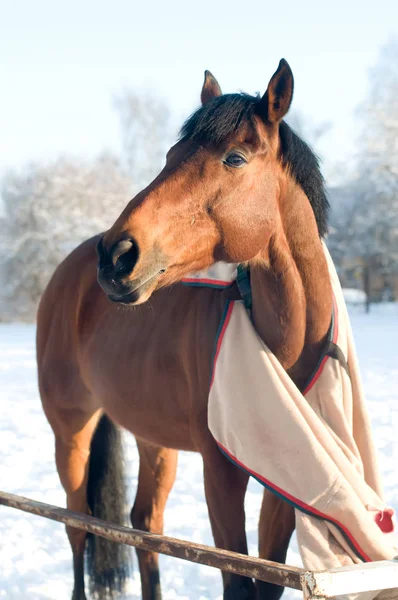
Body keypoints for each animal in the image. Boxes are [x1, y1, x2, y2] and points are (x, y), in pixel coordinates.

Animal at [35, 57, 332, 600]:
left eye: (234, 158)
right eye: (172, 155)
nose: (116, 255)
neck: (282, 348)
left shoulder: (286, 481)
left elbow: (268, 577)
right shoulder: (221, 473)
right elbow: (238, 580)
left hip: (154, 439)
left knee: (144, 526)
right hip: (71, 432)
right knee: (77, 525)